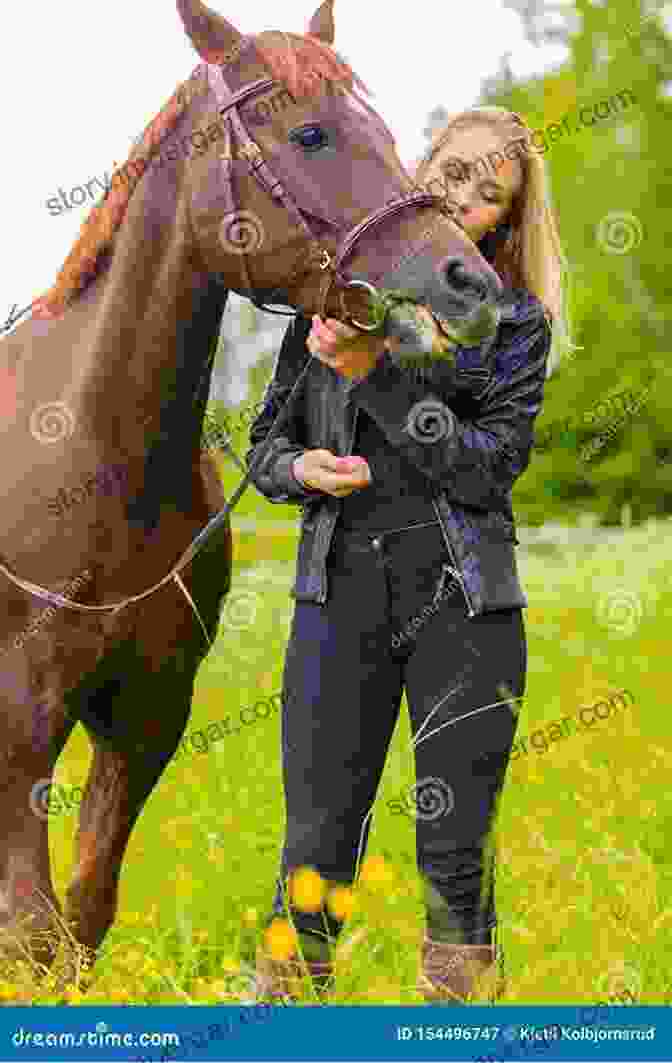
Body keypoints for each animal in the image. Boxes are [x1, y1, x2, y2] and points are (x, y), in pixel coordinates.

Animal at [0, 0, 501, 977]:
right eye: (310, 133)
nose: (469, 282)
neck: (86, 453)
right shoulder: (19, 723)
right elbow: (34, 936)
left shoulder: (148, 714)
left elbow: (83, 914)